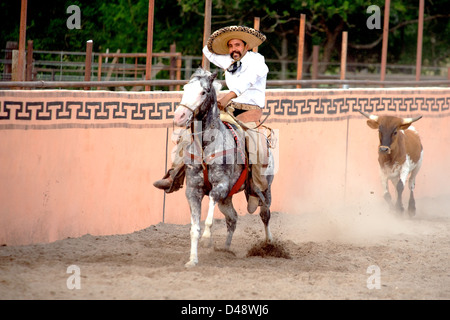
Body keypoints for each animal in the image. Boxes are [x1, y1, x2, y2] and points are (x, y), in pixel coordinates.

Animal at [174, 68, 276, 268]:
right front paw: (192, 260)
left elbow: (208, 217)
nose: (179, 115)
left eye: (203, 92)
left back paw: (270, 245)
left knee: (265, 214)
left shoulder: (220, 186)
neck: (207, 145)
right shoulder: (193, 191)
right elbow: (194, 228)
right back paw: (226, 249)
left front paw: (207, 238)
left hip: (264, 188)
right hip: (227, 199)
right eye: (185, 88)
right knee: (232, 219)